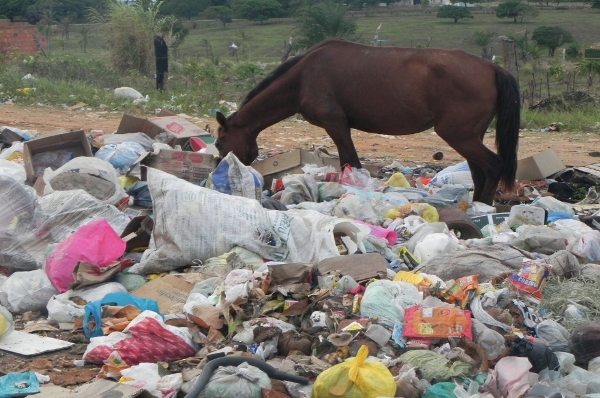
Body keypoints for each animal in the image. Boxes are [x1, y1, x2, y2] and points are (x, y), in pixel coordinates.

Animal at [216, 38, 520, 205]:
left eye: (220, 143)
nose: (222, 170)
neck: (304, 76)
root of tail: (494, 68)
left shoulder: (336, 125)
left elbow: (350, 162)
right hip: (470, 136)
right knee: (479, 170)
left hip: (458, 134)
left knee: (493, 165)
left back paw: (483, 205)